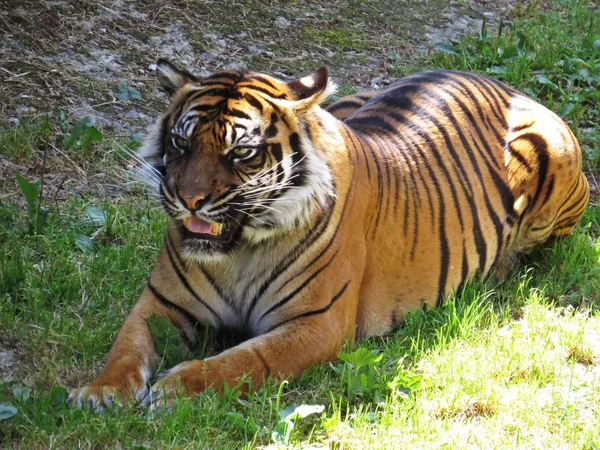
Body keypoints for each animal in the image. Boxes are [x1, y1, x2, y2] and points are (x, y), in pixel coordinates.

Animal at [68, 59, 588, 408]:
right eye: (181, 142)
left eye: (242, 153)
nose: (189, 199)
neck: (239, 251)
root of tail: (502, 84)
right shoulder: (159, 302)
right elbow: (126, 346)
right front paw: (99, 391)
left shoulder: (316, 323)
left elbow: (240, 362)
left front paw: (176, 386)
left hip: (552, 157)